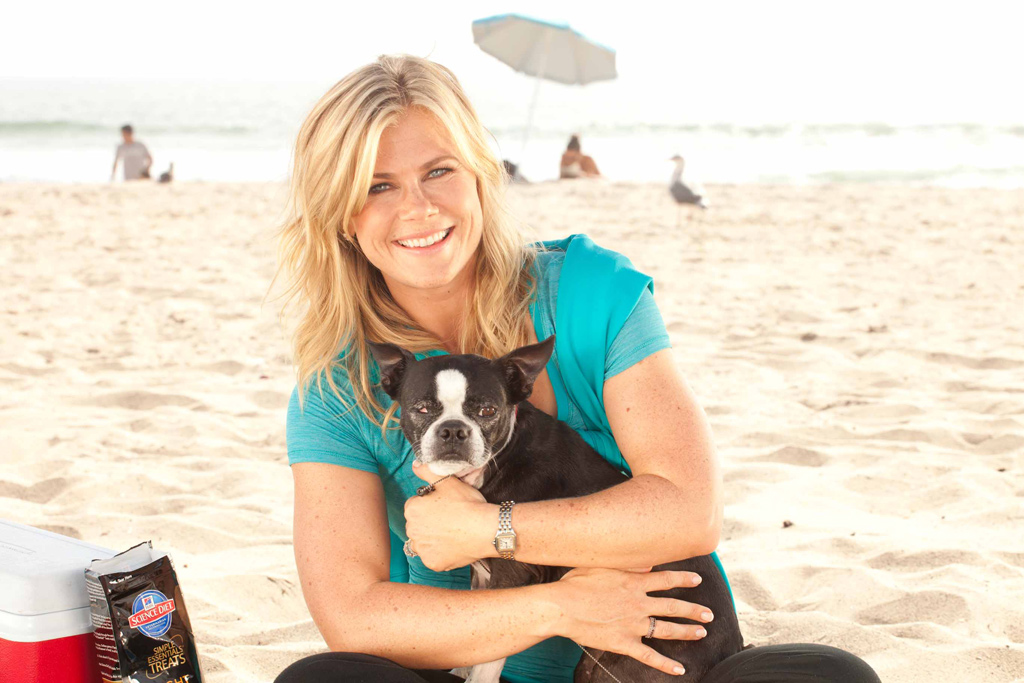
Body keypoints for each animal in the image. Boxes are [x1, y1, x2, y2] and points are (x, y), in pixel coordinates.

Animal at [370, 337, 745, 683]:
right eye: (421, 409)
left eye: (488, 411)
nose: (453, 429)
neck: (493, 464)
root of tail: (731, 650)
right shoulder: (483, 580)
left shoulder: (511, 580)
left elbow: (486, 662)